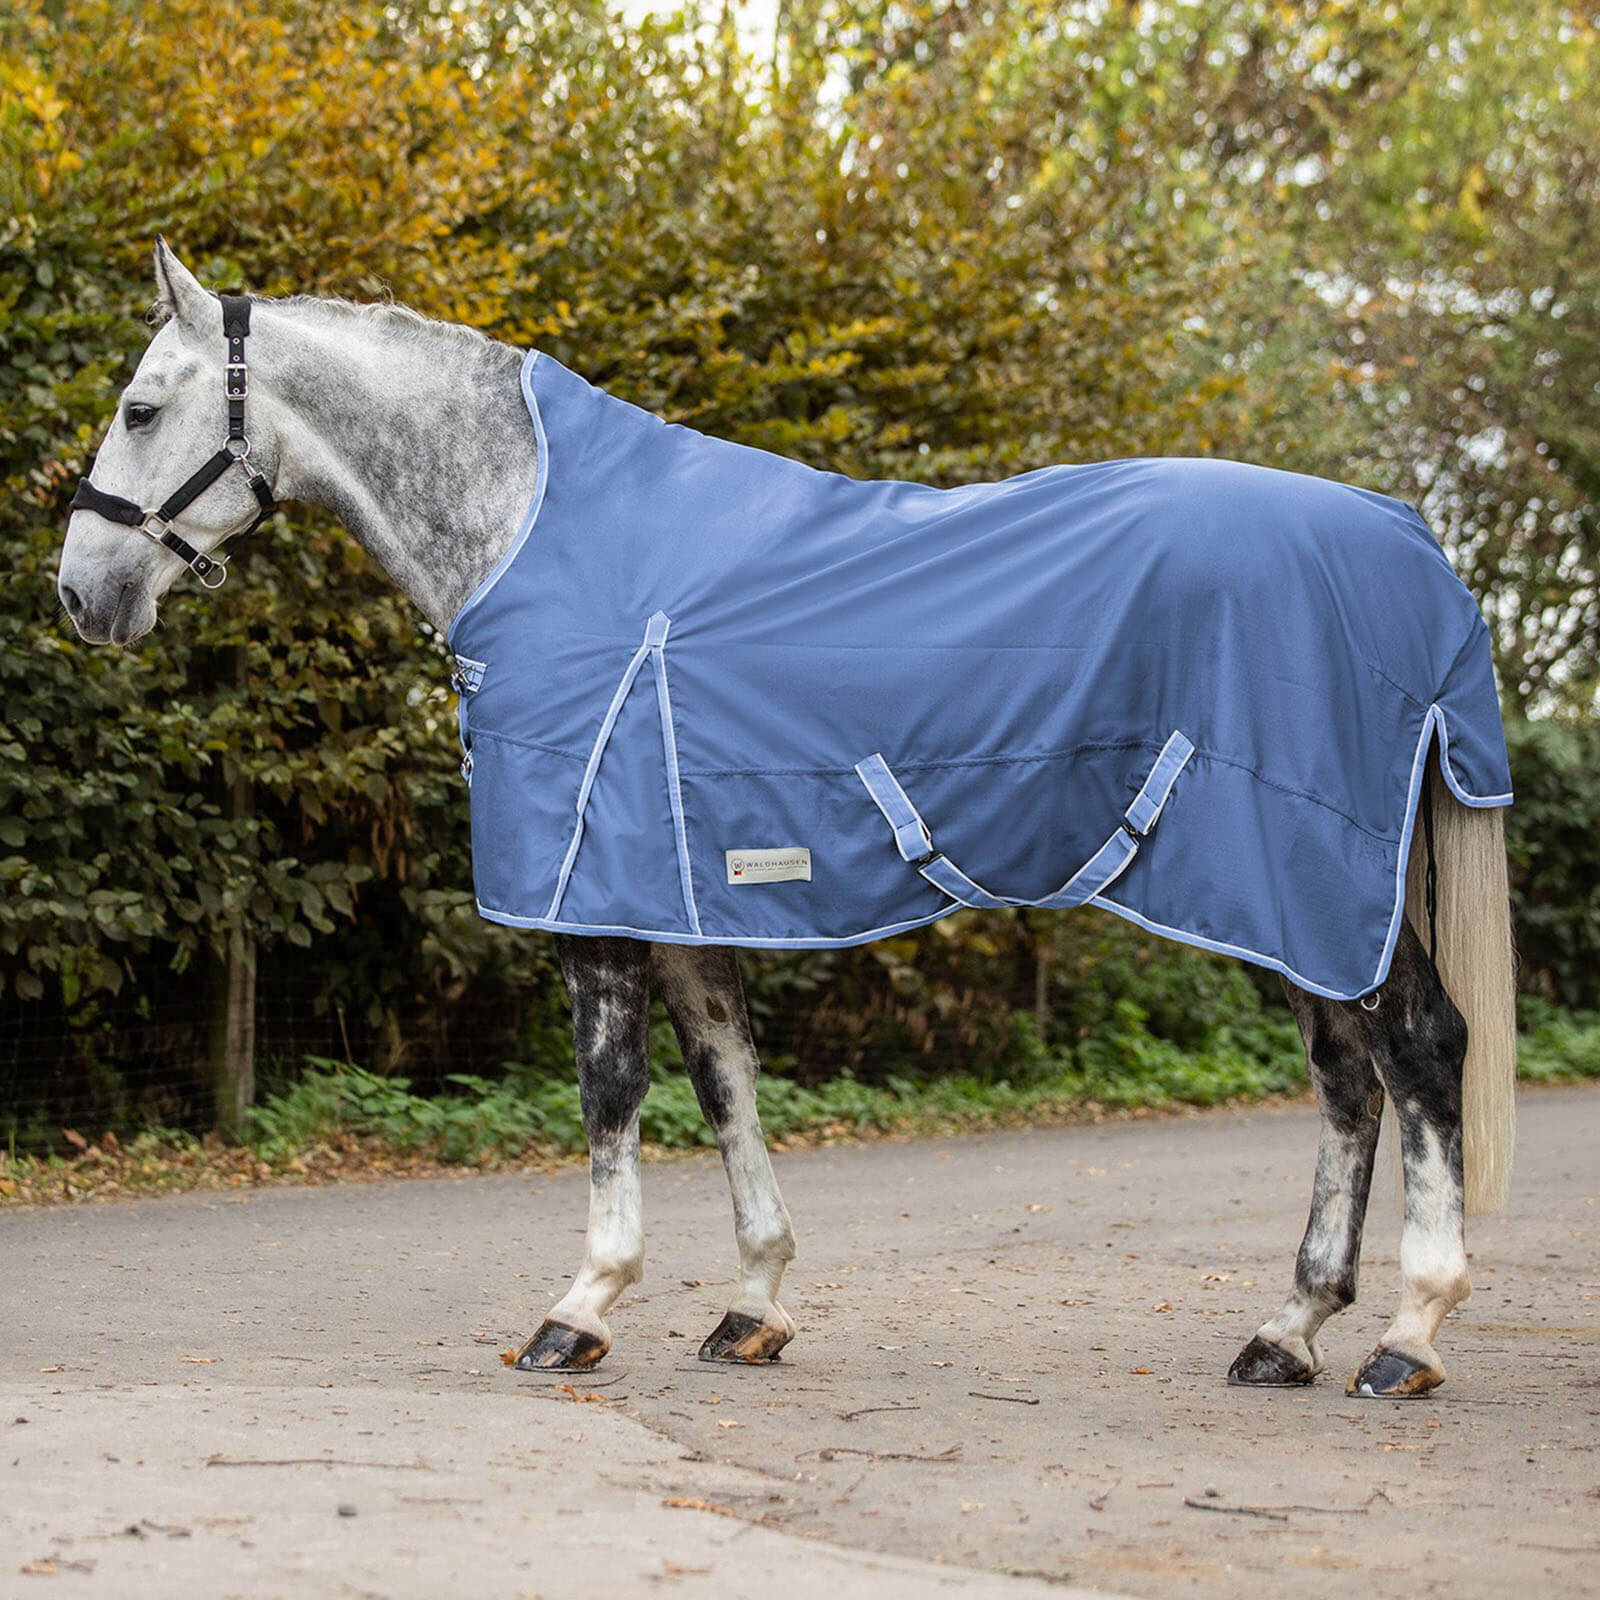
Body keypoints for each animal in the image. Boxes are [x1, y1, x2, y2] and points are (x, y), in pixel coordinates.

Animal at [58, 242, 1516, 1398]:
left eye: (139, 405)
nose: (81, 592)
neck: (534, 530)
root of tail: (1411, 547)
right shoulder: (680, 894)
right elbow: (726, 1081)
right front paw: (751, 1304)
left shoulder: (598, 901)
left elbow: (610, 1091)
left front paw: (579, 1310)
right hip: (1299, 901)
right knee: (1347, 1084)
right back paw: (1289, 1329)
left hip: (1312, 883)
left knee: (1418, 1053)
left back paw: (1409, 1334)